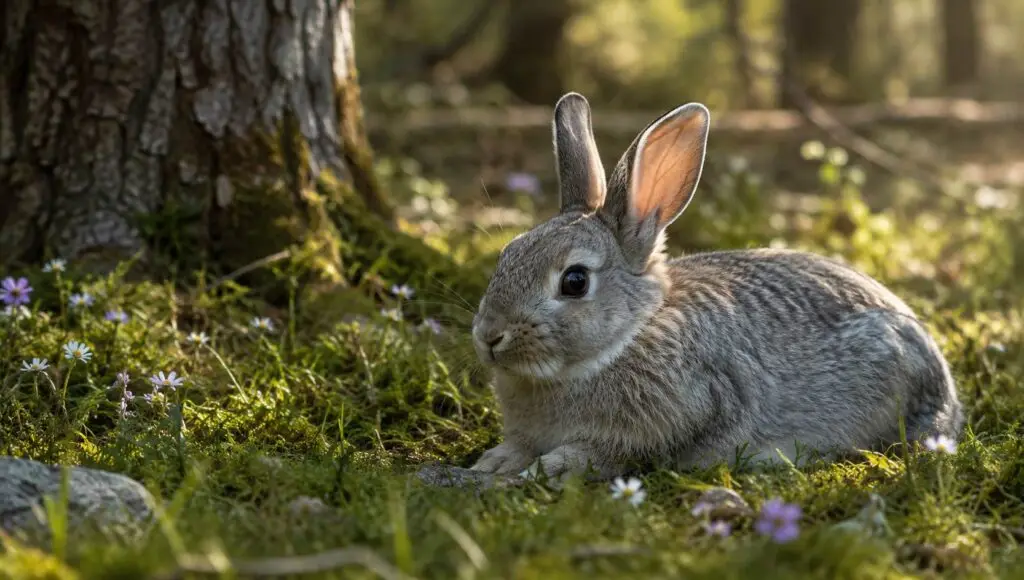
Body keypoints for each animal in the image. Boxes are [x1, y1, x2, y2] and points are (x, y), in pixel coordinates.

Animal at [467, 92, 964, 482]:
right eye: (507, 253)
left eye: (575, 281)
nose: (489, 336)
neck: (630, 336)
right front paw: (496, 461)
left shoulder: (686, 413)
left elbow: (612, 452)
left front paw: (554, 466)